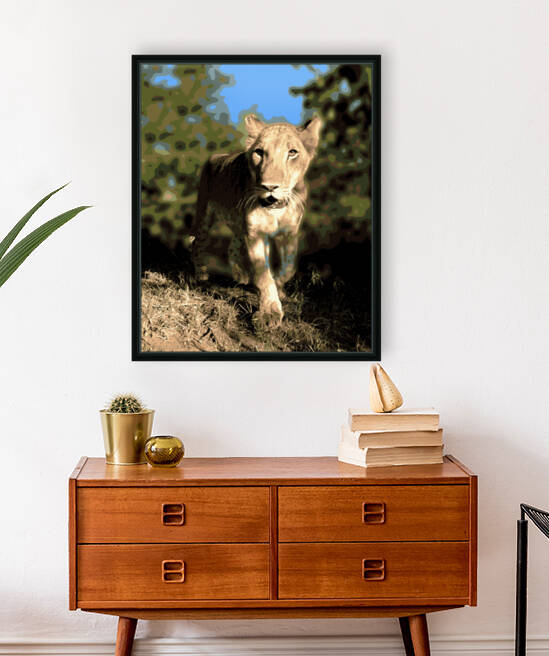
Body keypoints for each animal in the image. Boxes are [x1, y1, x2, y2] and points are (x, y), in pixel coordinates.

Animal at [191, 113, 322, 327]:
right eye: (259, 152)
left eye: (292, 152)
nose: (269, 186)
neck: (276, 208)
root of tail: (216, 156)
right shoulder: (256, 233)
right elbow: (263, 274)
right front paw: (270, 312)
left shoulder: (289, 233)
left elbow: (289, 267)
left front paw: (279, 288)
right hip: (205, 214)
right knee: (196, 242)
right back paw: (201, 273)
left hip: (238, 225)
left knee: (232, 246)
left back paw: (241, 275)